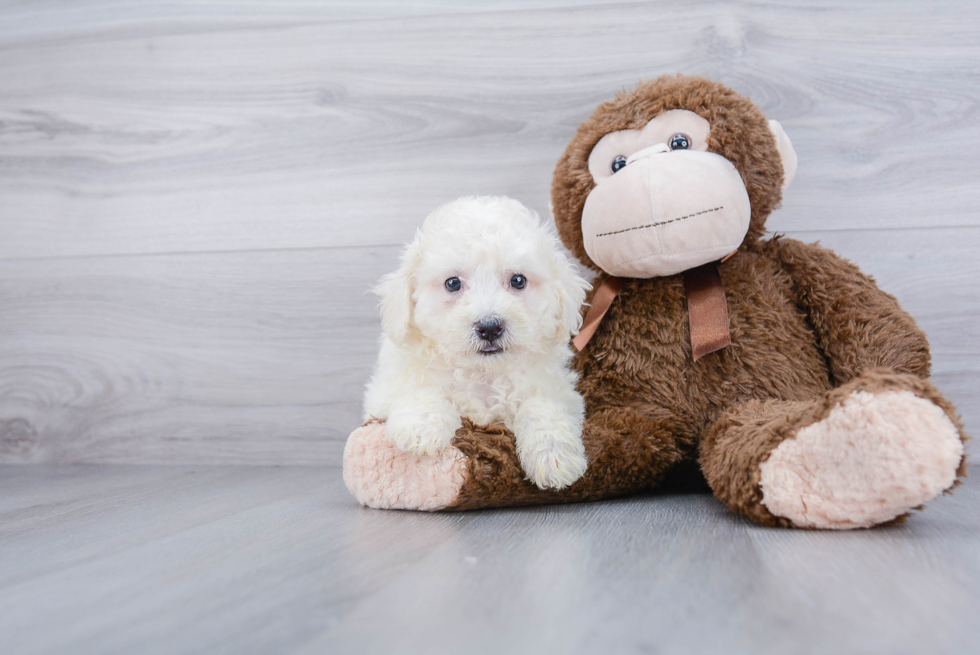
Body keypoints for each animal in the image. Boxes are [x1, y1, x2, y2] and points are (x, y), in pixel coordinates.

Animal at [360, 197, 588, 490]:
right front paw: (421, 428)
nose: (489, 327)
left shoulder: (558, 389)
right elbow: (420, 388)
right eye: (452, 283)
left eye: (518, 280)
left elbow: (541, 406)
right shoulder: (384, 390)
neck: (482, 373)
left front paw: (553, 456)